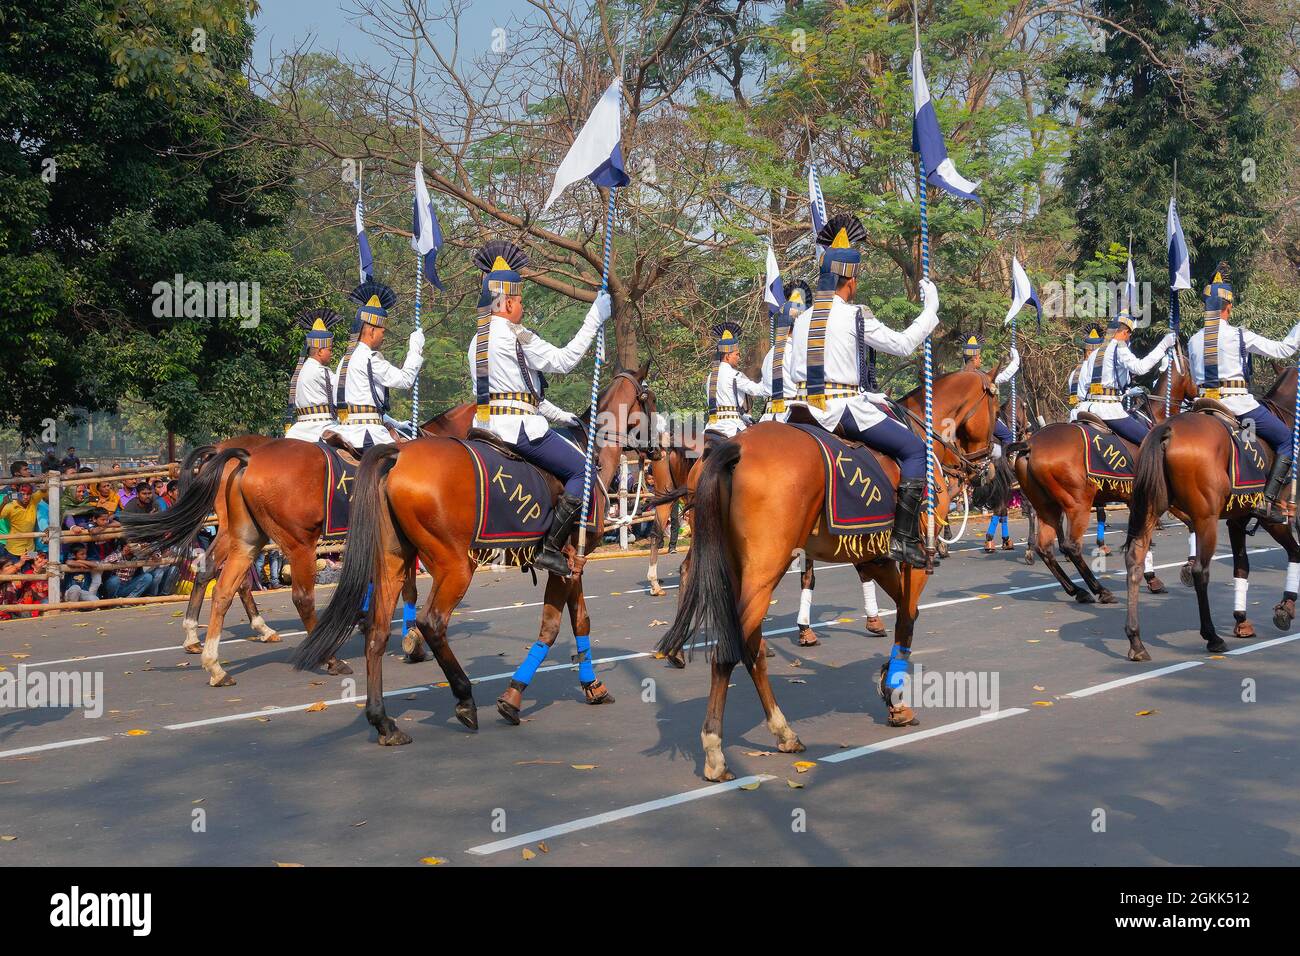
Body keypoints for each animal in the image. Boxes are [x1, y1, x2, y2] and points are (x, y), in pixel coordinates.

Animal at [120, 400, 478, 686]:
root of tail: (238, 455)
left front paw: (370, 620)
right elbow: (408, 588)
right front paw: (410, 641)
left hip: (244, 534)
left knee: (216, 576)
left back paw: (210, 650)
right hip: (295, 542)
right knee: (293, 595)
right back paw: (323, 655)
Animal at [297, 366, 660, 749]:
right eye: (649, 399)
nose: (660, 446)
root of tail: (397, 455)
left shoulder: (572, 565)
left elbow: (581, 621)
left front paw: (592, 686)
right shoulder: (564, 565)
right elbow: (550, 628)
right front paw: (513, 698)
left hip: (393, 563)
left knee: (377, 631)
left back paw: (384, 721)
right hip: (456, 566)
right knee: (431, 622)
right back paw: (463, 697)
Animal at [1008, 348, 1201, 600]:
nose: (1199, 395)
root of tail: (1030, 444)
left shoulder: (1136, 500)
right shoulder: (1159, 498)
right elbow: (1187, 524)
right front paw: (1177, 569)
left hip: (1046, 506)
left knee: (1045, 547)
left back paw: (1077, 589)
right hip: (1077, 504)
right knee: (1071, 546)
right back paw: (1099, 589)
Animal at [1118, 366, 1300, 658]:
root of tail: (1167, 429)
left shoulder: (1237, 520)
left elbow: (1242, 567)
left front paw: (1242, 621)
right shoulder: (1275, 518)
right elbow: (1295, 553)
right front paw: (1286, 607)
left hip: (1150, 510)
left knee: (1135, 561)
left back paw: (1136, 641)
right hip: (1207, 519)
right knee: (1200, 571)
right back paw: (1211, 636)